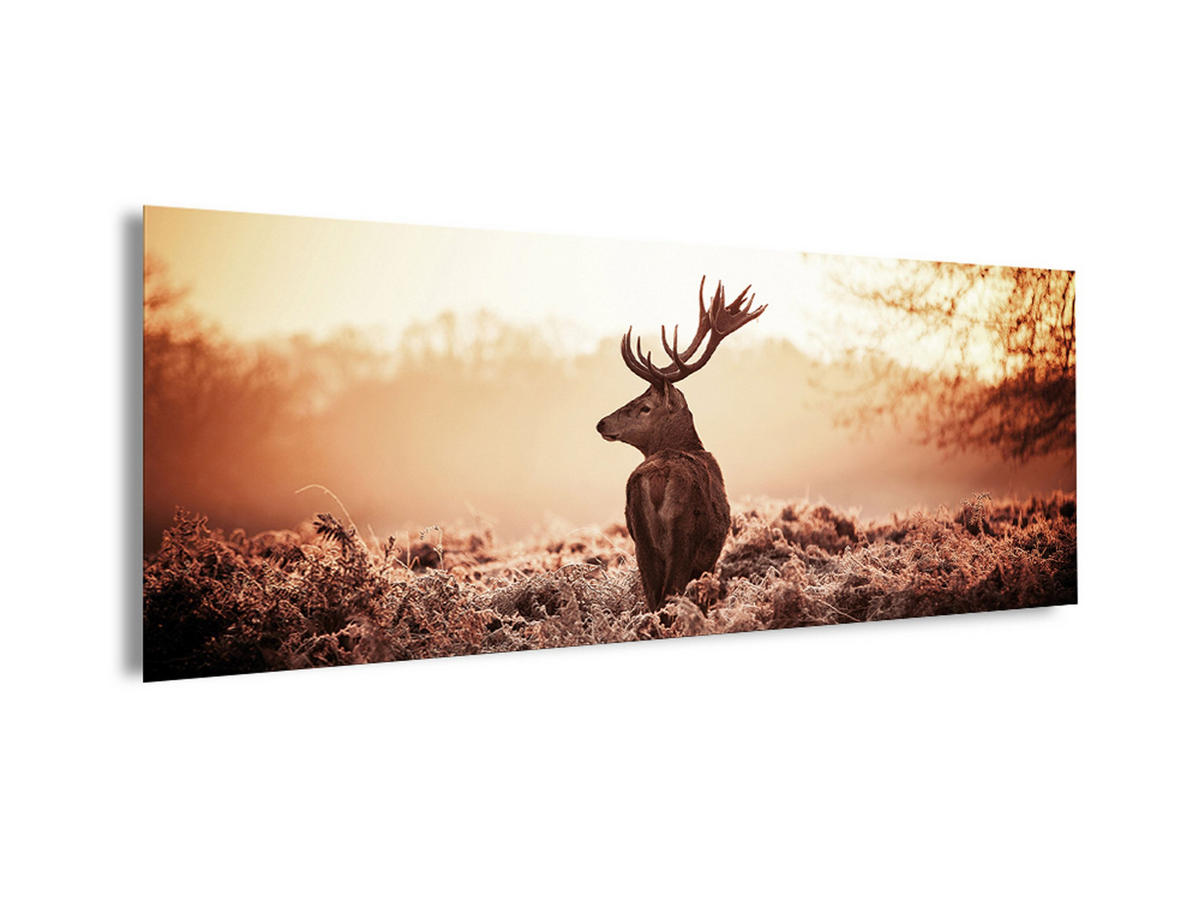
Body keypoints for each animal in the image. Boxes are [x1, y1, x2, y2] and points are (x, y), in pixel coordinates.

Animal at [596, 276, 766, 613]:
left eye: (644, 406)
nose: (602, 423)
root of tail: (657, 479)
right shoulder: (709, 556)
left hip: (642, 543)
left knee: (653, 599)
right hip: (684, 538)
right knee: (669, 597)